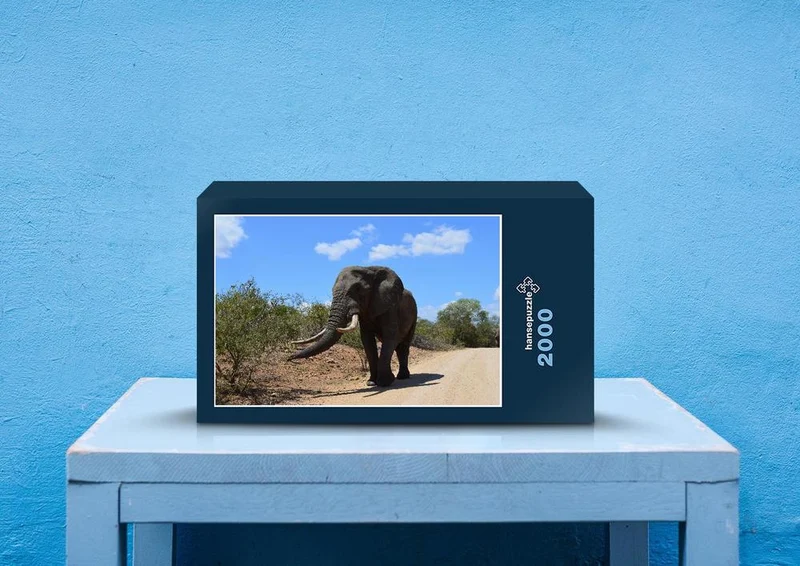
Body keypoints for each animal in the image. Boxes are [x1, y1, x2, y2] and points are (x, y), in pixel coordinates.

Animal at [288, 266, 418, 387]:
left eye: (358, 289)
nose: (289, 358)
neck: (369, 269)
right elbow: (367, 340)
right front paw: (371, 382)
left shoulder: (390, 307)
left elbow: (390, 336)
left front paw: (384, 383)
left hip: (414, 315)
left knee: (403, 346)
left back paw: (402, 377)